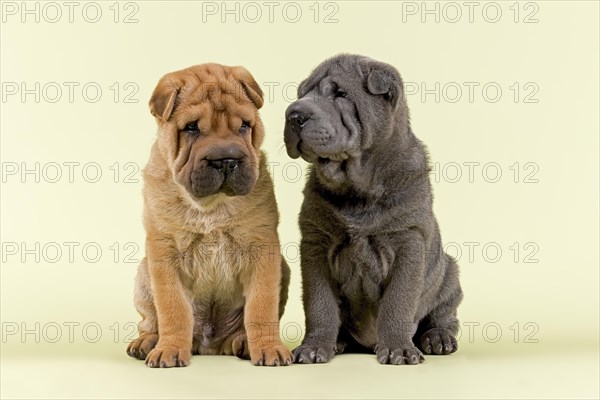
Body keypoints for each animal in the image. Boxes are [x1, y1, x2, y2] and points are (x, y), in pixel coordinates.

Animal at [282, 54, 464, 368]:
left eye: (340, 94)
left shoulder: (408, 242)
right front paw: (313, 347)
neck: (356, 189)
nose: (293, 114)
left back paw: (437, 339)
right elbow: (319, 303)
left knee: (443, 315)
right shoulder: (315, 244)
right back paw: (339, 342)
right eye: (302, 93)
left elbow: (398, 302)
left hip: (450, 274)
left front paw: (398, 349)